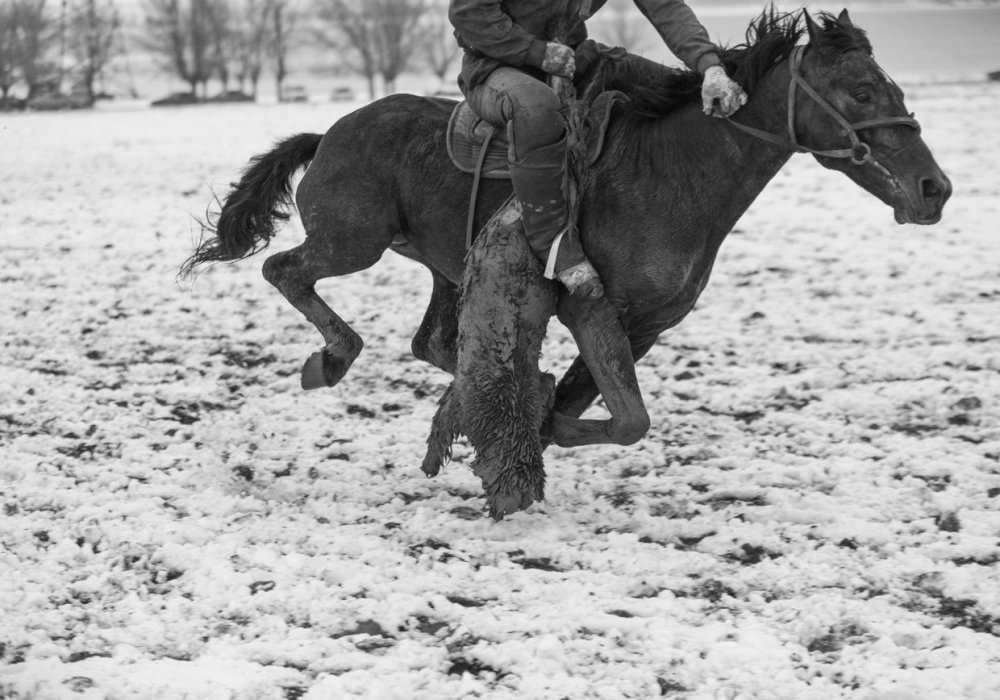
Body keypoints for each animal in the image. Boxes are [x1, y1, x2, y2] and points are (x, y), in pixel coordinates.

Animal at [182, 6, 952, 516]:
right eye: (861, 90)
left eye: (892, 85)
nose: (933, 190)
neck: (673, 171)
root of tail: (333, 131)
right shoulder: (589, 305)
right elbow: (627, 418)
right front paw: (531, 432)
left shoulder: (643, 326)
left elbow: (603, 405)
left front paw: (534, 420)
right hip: (352, 242)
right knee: (285, 272)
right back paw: (332, 358)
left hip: (442, 268)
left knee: (430, 342)